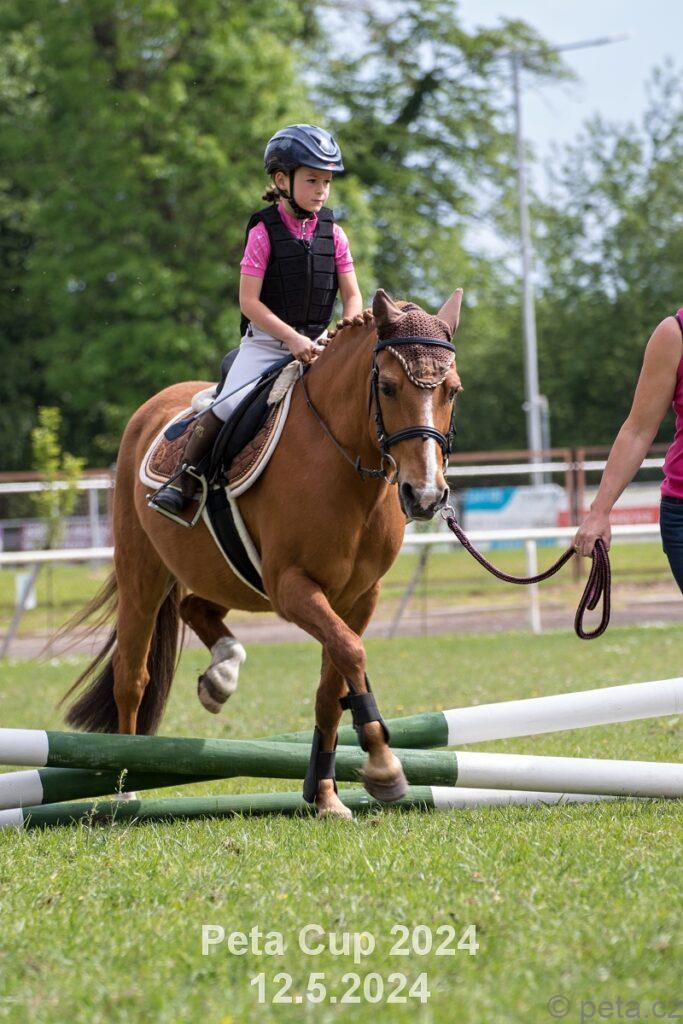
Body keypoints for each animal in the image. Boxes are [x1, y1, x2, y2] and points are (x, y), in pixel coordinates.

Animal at [60, 287, 463, 818]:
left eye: (452, 390)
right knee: (131, 675)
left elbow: (331, 686)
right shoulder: (292, 587)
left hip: (223, 575)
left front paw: (326, 795)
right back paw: (126, 787)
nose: (426, 495)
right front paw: (383, 767)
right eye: (391, 387)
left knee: (195, 608)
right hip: (142, 573)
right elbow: (350, 653)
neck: (343, 462)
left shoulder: (359, 597)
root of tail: (151, 408)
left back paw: (221, 675)